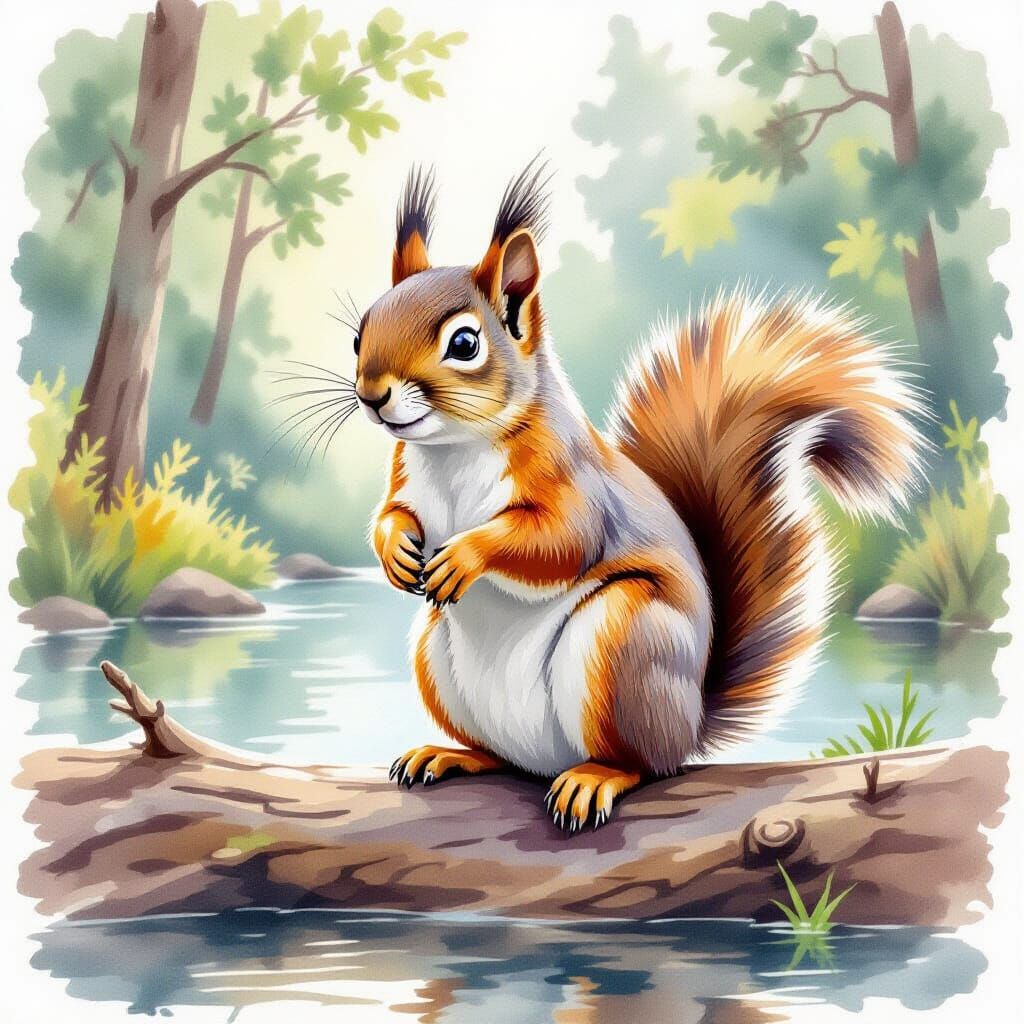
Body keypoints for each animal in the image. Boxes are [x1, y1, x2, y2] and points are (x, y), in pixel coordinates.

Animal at [353, 160, 924, 832]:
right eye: (361, 331)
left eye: (465, 344)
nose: (371, 395)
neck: (453, 448)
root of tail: (689, 724)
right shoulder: (407, 480)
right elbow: (393, 514)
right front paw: (396, 551)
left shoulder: (574, 484)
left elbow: (559, 541)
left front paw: (467, 554)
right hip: (438, 659)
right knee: (501, 755)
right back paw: (452, 755)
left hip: (626, 641)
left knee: (644, 764)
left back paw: (596, 776)